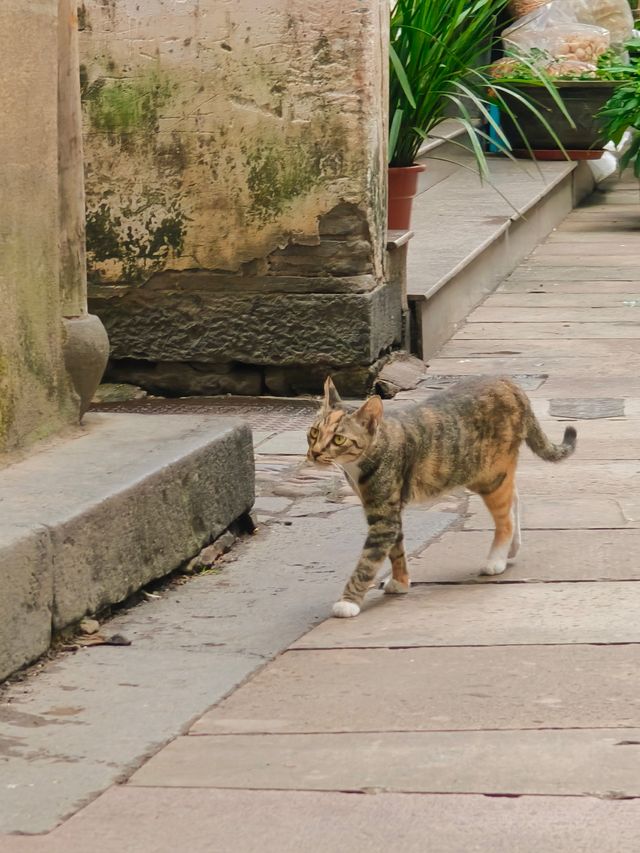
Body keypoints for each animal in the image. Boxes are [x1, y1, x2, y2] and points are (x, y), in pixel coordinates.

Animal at [304, 376, 576, 616]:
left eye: (339, 439)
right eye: (314, 432)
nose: (315, 453)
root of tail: (508, 383)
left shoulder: (383, 516)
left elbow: (367, 562)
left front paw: (348, 602)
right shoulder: (391, 509)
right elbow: (396, 550)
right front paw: (401, 581)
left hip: (488, 474)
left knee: (505, 518)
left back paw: (496, 560)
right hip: (485, 472)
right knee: (514, 498)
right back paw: (513, 548)